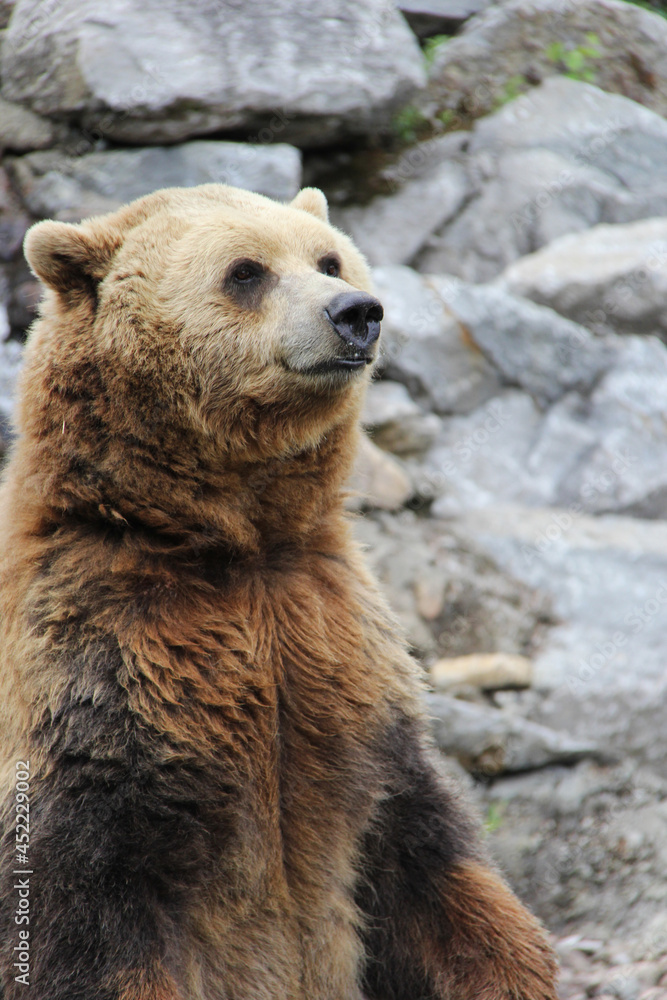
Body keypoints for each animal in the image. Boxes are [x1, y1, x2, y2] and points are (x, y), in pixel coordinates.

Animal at [0, 183, 557, 1000]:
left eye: (328, 258)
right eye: (245, 271)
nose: (357, 311)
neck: (235, 541)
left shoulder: (337, 651)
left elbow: (429, 858)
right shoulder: (100, 667)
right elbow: (95, 922)